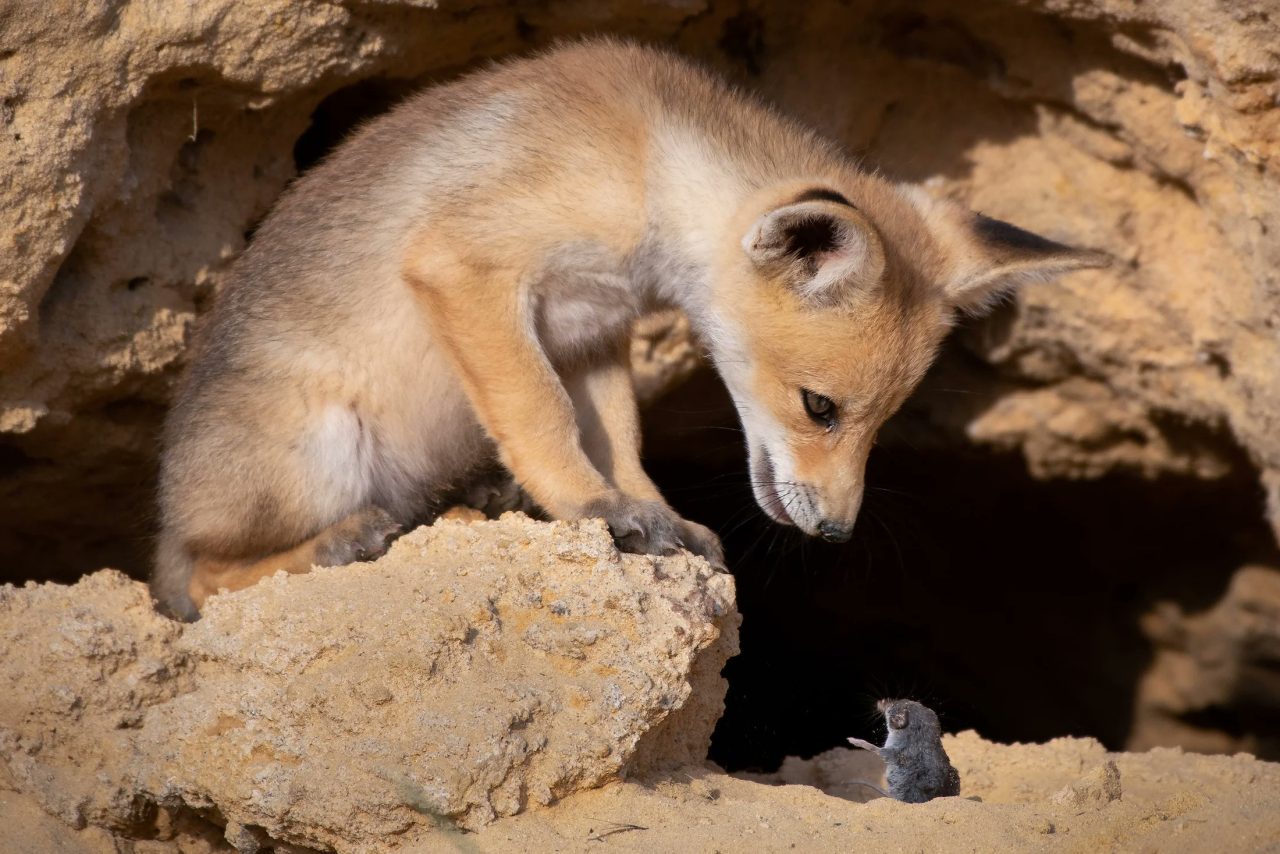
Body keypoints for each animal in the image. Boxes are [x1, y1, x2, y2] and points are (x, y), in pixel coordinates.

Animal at [152, 38, 1108, 619]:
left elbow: (620, 439)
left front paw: (652, 514)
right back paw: (337, 543)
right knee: (198, 580)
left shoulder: (592, 333)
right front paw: (588, 508)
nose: (836, 533)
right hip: (319, 450)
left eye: (884, 424)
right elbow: (541, 417)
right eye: (821, 408)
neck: (646, 163)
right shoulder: (467, 268)